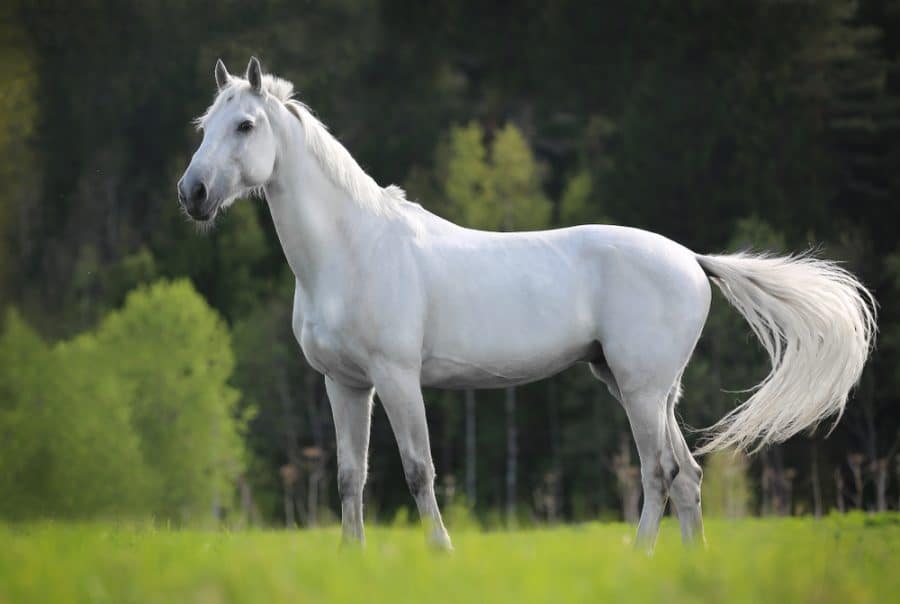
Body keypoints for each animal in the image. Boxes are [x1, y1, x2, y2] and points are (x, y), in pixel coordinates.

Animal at [179, 59, 876, 548]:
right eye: (205, 127)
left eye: (246, 125)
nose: (193, 193)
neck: (353, 248)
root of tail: (692, 259)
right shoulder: (345, 384)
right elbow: (353, 478)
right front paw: (353, 559)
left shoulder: (397, 378)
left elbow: (418, 471)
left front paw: (442, 553)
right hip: (637, 386)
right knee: (688, 478)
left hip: (643, 389)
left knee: (659, 473)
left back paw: (638, 557)